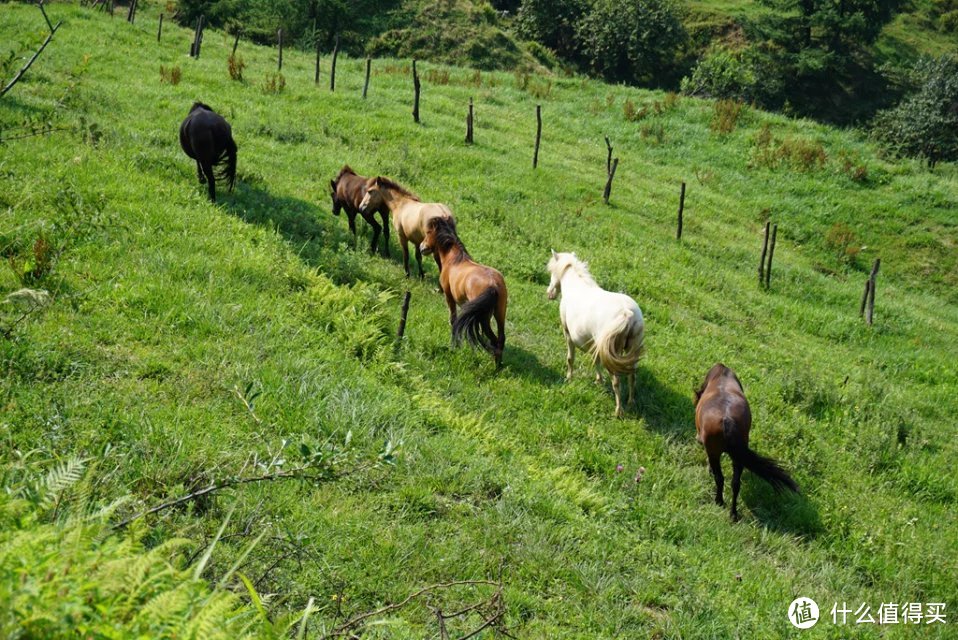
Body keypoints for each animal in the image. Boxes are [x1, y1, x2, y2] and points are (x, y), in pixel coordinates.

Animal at [422, 219, 510, 370]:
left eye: (428, 232)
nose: (421, 247)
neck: (454, 260)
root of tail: (493, 284)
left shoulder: (449, 297)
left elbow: (453, 319)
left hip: (484, 318)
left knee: (493, 339)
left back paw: (494, 365)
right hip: (499, 313)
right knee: (500, 338)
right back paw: (498, 364)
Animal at [548, 250, 644, 420]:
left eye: (552, 272)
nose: (549, 293)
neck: (576, 287)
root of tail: (628, 313)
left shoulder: (568, 334)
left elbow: (570, 358)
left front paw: (569, 378)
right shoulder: (597, 345)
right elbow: (596, 360)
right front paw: (598, 381)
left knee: (616, 381)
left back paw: (618, 411)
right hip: (631, 350)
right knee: (632, 376)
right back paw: (631, 402)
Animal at [692, 364, 800, 520]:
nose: (698, 439)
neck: (721, 376)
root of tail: (727, 420)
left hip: (717, 453)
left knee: (720, 478)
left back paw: (719, 501)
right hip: (739, 457)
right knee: (735, 484)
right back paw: (733, 513)